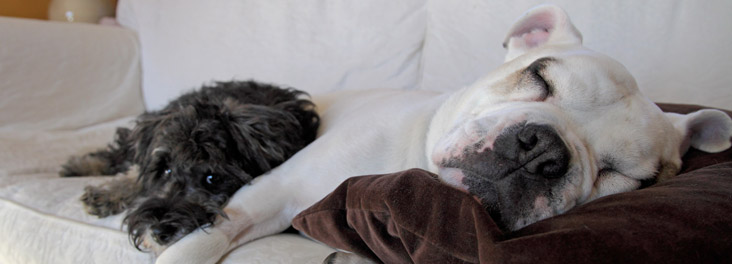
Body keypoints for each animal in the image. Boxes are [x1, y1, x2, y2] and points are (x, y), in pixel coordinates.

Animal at [59, 80, 318, 250]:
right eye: (166, 170)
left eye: (212, 178)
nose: (158, 233)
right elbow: (136, 172)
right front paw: (107, 193)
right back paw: (79, 167)